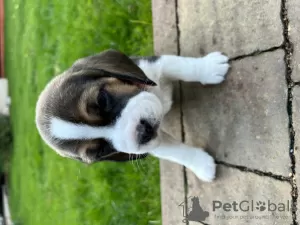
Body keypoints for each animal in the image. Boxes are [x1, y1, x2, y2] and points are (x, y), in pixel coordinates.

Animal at [36, 48, 231, 181]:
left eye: (102, 100)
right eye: (103, 151)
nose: (142, 132)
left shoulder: (153, 65)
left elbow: (182, 67)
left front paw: (209, 68)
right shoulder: (146, 145)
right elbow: (176, 152)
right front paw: (201, 165)